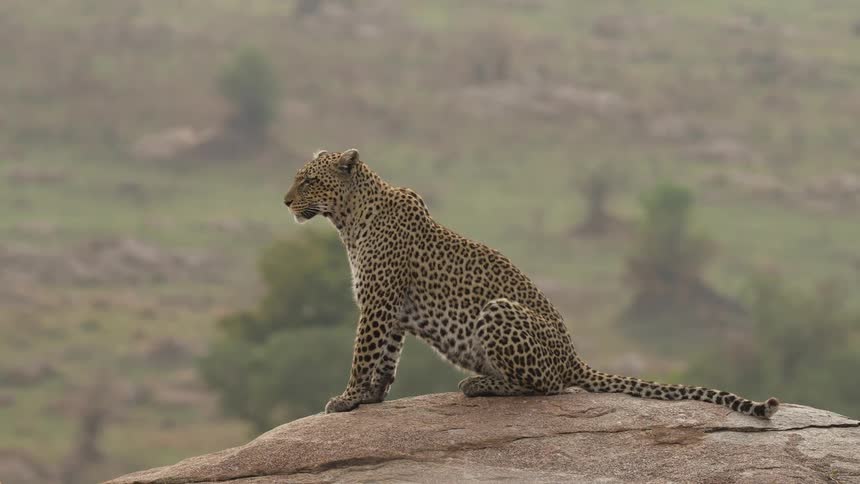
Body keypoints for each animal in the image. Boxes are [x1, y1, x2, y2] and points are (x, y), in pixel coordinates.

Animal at [283, 148, 780, 419]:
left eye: (307, 181)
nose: (285, 201)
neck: (348, 219)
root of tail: (574, 359)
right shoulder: (394, 309)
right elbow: (386, 358)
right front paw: (370, 397)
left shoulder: (379, 303)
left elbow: (362, 353)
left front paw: (346, 398)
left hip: (498, 310)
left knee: (544, 387)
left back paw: (480, 385)